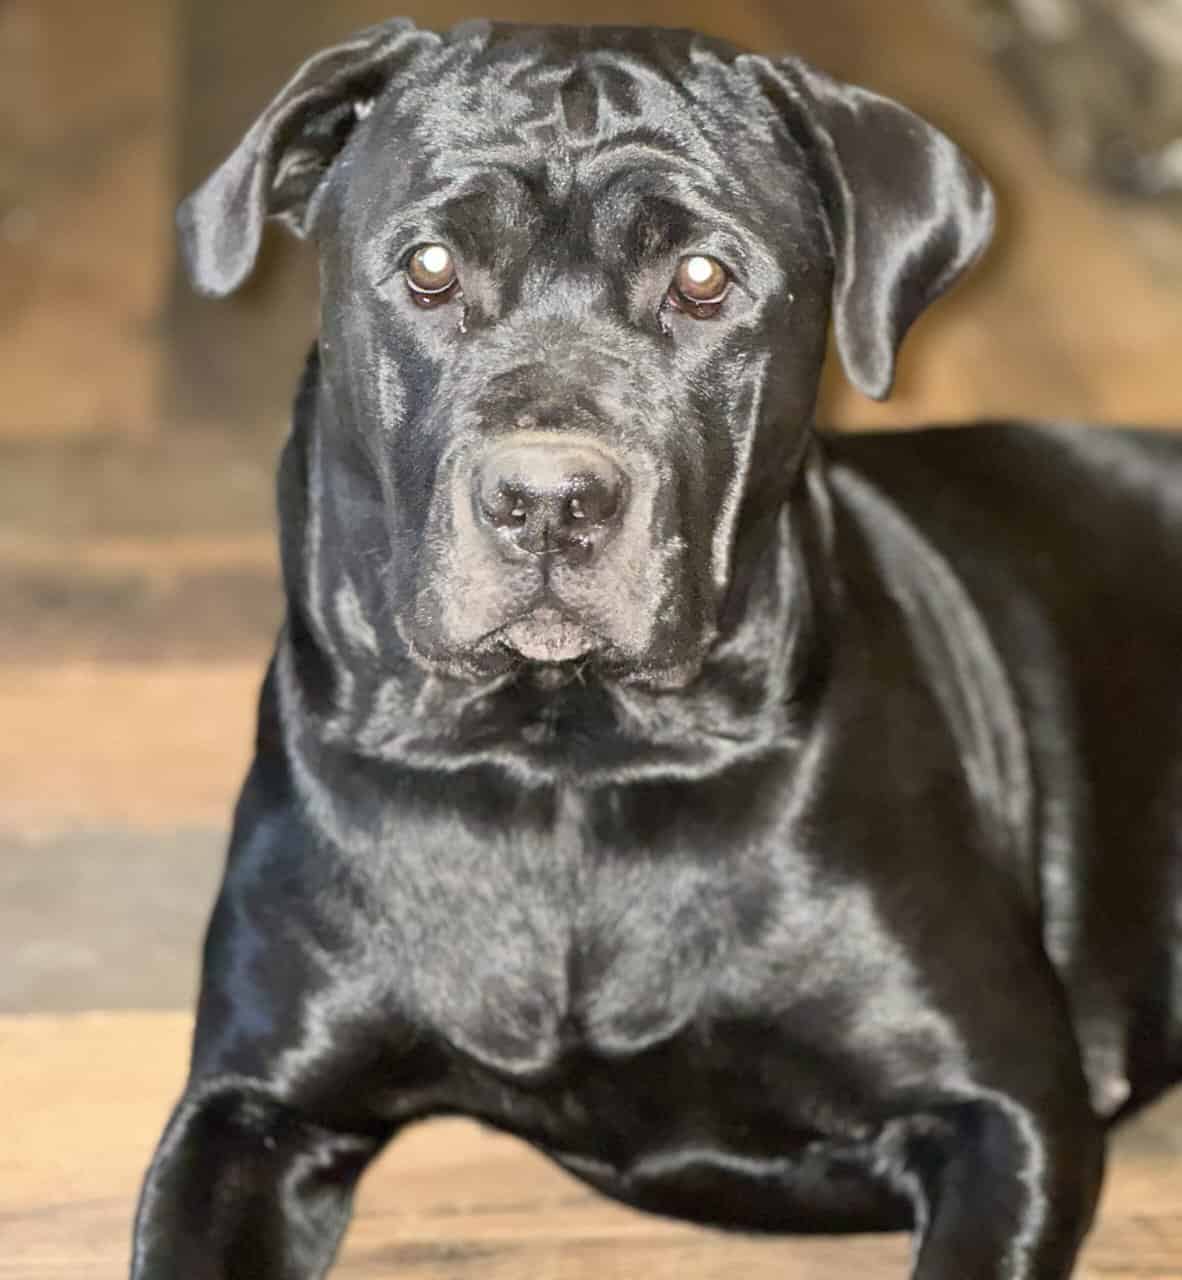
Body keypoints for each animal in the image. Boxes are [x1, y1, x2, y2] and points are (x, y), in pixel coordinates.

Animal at [131, 19, 1182, 1279]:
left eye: (702, 278)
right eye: (430, 266)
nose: (547, 497)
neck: (563, 756)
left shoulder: (1007, 1105)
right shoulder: (249, 1106)